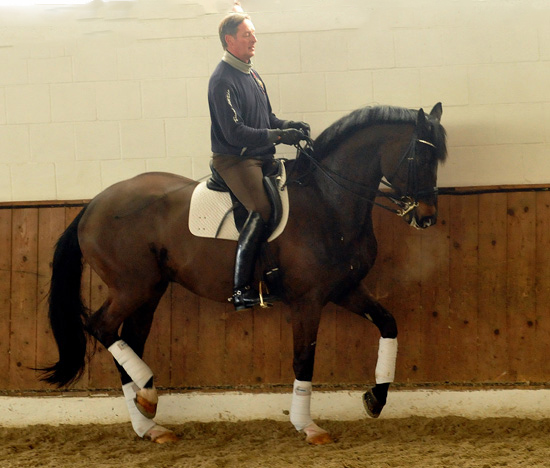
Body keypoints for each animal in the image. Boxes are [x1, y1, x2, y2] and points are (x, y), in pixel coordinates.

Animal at [42, 103, 448, 446]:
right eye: (420, 156)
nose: (427, 217)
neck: (327, 200)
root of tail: (92, 205)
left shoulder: (345, 289)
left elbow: (388, 324)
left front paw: (375, 398)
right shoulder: (308, 300)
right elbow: (304, 358)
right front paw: (308, 426)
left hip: (150, 291)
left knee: (128, 341)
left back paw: (149, 419)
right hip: (132, 287)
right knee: (101, 327)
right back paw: (147, 393)